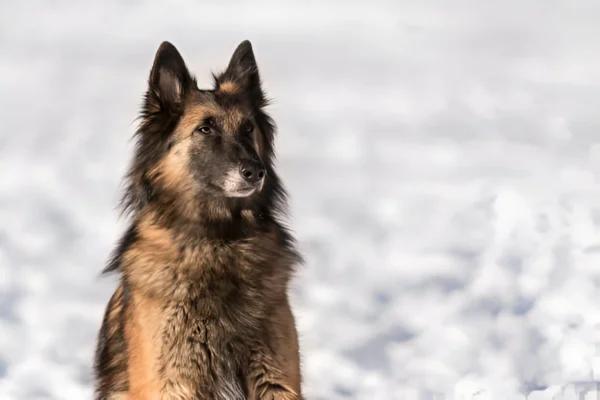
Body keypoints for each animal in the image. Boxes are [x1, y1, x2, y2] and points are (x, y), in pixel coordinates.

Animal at [94, 39, 304, 398]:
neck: (218, 241)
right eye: (205, 129)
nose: (255, 171)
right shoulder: (173, 382)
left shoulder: (277, 380)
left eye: (248, 127)